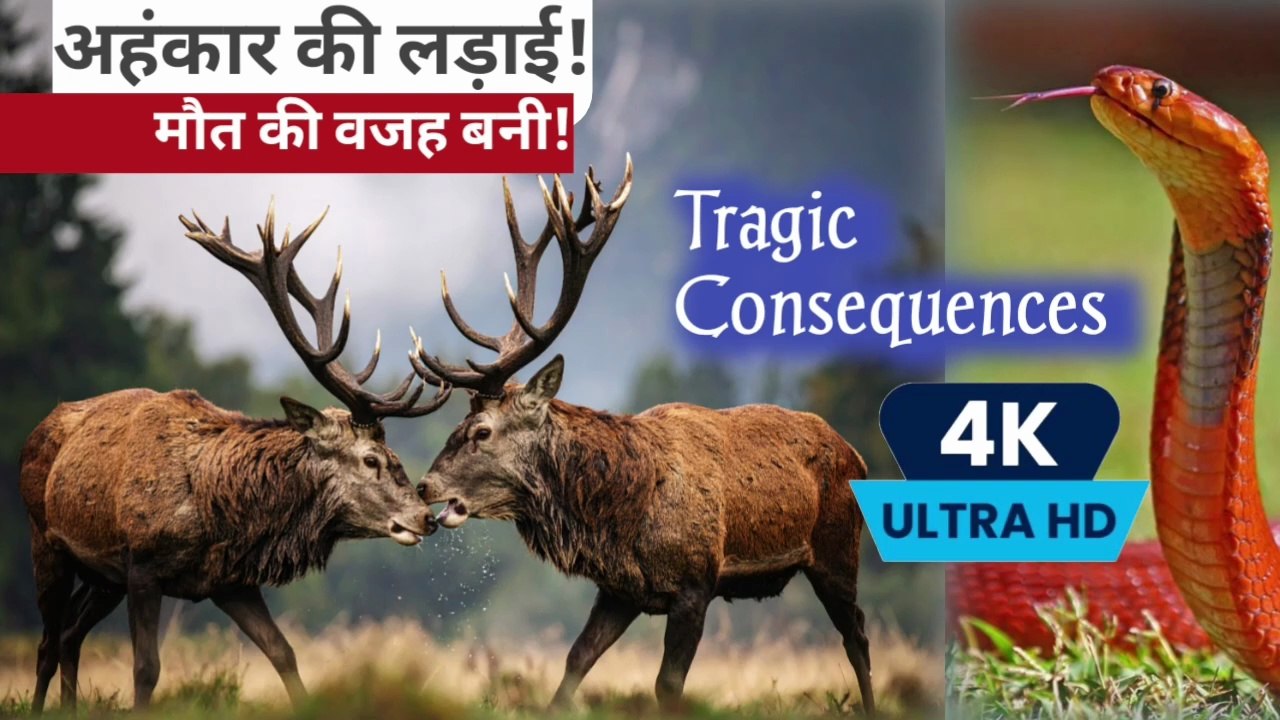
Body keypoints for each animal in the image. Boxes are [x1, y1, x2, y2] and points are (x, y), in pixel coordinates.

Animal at [19, 203, 451, 713]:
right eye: (371, 459)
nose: (427, 517)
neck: (216, 511)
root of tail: (39, 427)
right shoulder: (142, 566)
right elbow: (146, 669)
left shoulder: (230, 581)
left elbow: (284, 653)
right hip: (46, 542)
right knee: (47, 643)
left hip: (102, 576)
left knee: (69, 635)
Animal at [412, 156, 875, 713]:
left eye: (482, 431)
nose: (425, 485)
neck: (621, 514)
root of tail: (857, 455)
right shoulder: (620, 590)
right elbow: (575, 660)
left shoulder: (697, 583)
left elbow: (667, 686)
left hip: (837, 549)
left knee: (859, 638)